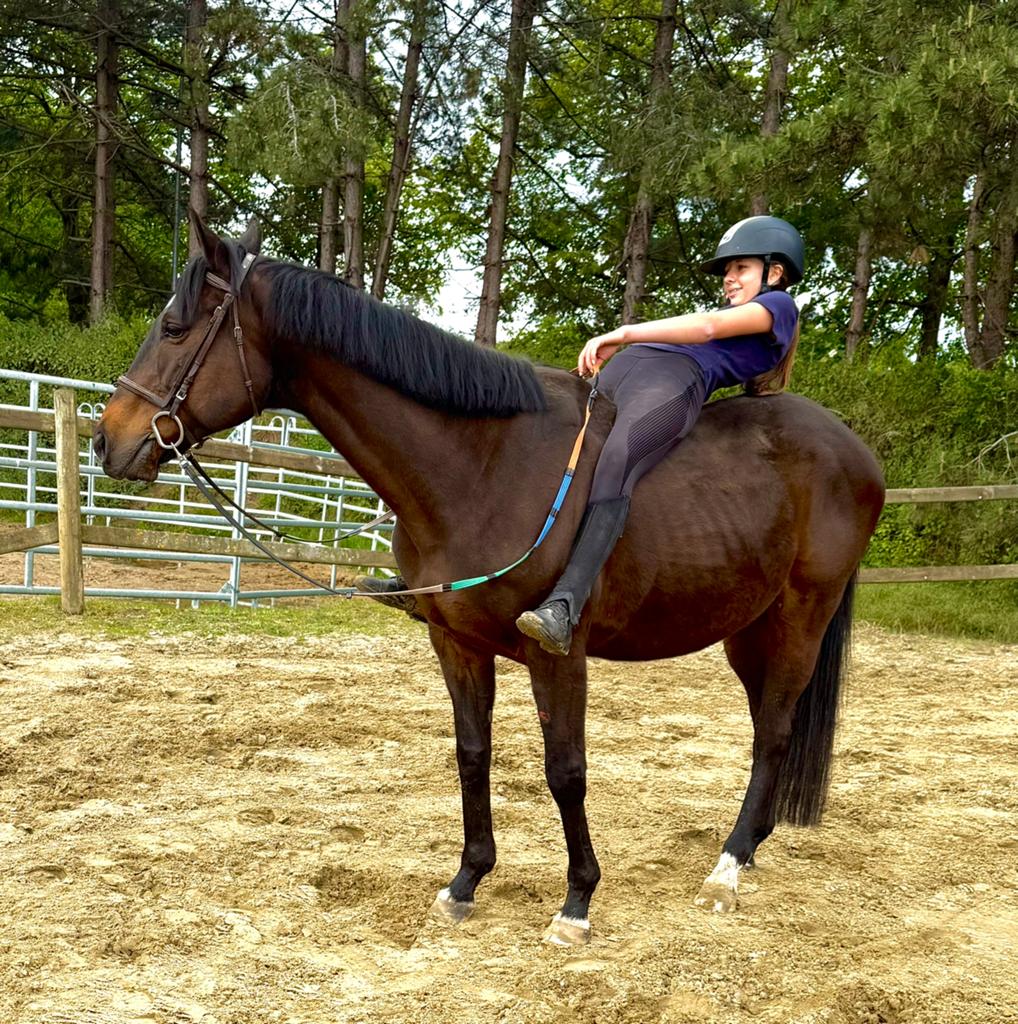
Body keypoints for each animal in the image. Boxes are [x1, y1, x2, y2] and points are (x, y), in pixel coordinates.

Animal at [93, 216, 885, 946]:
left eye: (173, 328)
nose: (108, 440)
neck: (482, 465)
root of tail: (856, 451)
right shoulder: (457, 643)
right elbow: (471, 756)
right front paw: (466, 881)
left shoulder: (557, 654)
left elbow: (565, 769)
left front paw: (577, 901)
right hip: (748, 631)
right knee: (768, 729)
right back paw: (746, 852)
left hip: (799, 619)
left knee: (773, 732)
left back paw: (726, 867)